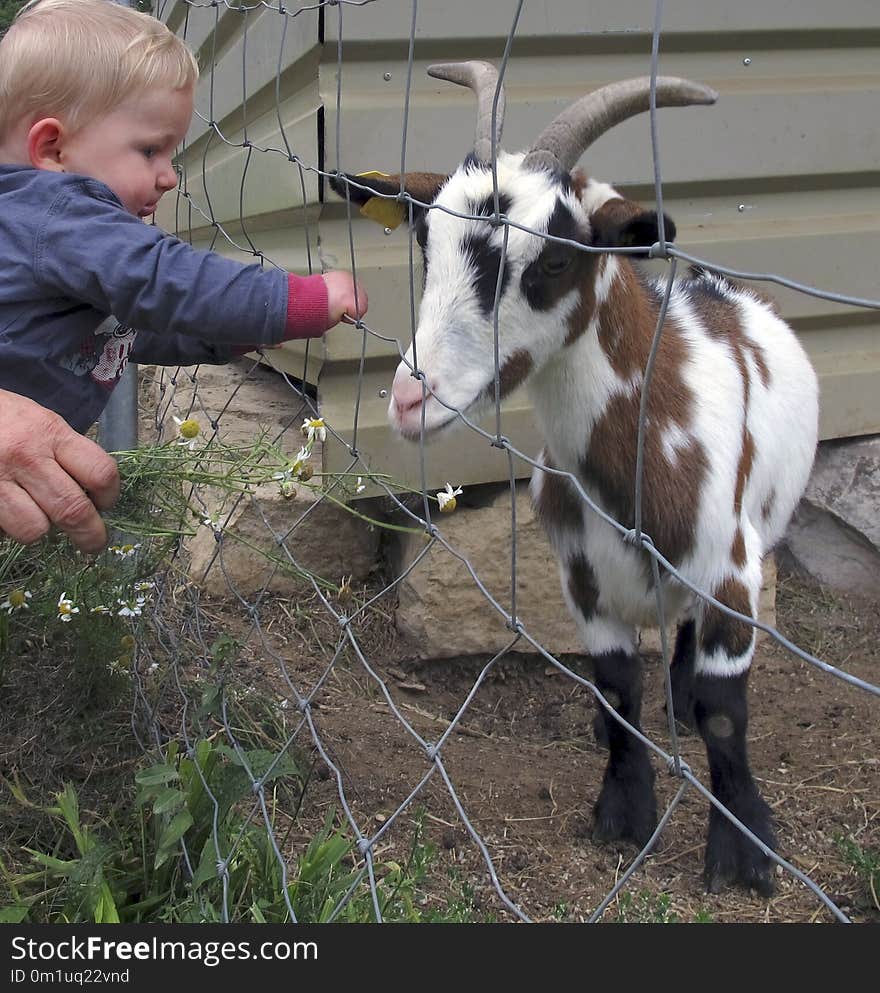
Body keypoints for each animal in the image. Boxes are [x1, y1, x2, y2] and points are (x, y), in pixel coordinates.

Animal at [330, 64, 820, 900]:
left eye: (555, 259)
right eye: (426, 242)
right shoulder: (583, 581)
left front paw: (746, 851)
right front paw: (623, 812)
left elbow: (726, 711)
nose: (409, 398)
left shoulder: (734, 574)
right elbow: (618, 686)